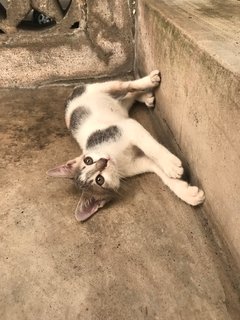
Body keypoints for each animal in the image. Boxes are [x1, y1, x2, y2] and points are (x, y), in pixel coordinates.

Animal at [47, 69, 205, 220]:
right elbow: (159, 170)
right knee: (124, 99)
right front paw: (187, 192)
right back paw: (144, 96)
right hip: (118, 110)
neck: (117, 158)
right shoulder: (137, 162)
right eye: (99, 180)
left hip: (97, 89)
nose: (104, 162)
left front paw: (169, 164)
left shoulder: (127, 128)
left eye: (88, 160)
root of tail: (69, 98)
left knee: (124, 85)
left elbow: (150, 147)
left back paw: (149, 81)